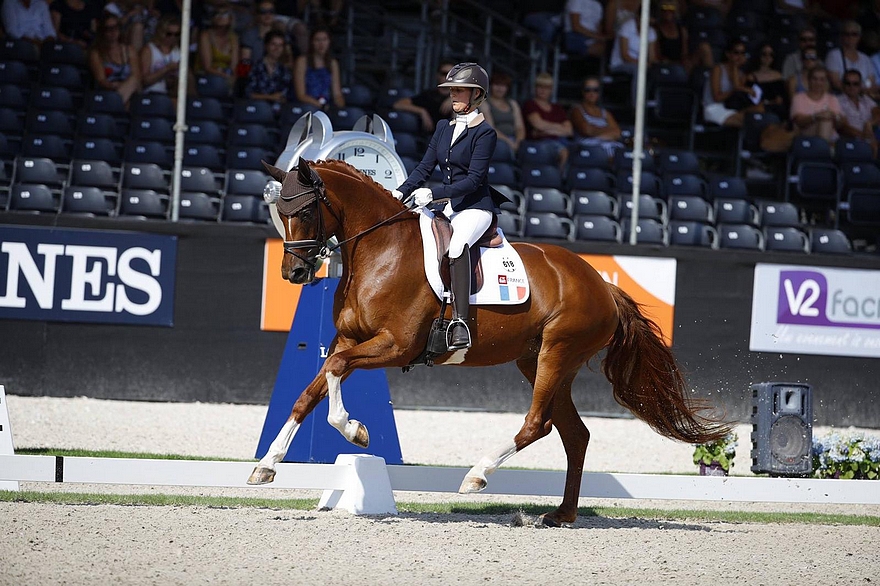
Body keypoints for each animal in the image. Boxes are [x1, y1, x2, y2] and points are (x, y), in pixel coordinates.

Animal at [249, 157, 728, 524]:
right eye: (280, 212)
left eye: (305, 211)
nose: (294, 273)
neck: (380, 249)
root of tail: (601, 284)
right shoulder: (349, 339)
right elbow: (309, 392)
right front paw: (267, 465)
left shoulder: (396, 345)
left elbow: (333, 371)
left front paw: (356, 431)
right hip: (539, 361)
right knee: (575, 434)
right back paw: (561, 515)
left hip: (557, 353)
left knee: (539, 424)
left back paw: (477, 476)